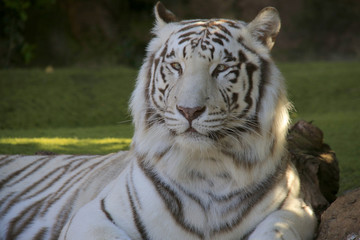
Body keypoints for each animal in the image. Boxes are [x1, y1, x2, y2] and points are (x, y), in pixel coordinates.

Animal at [0, 2, 316, 240]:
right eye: (176, 66)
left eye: (221, 69)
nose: (189, 110)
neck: (208, 168)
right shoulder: (93, 215)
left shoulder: (297, 209)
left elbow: (275, 231)